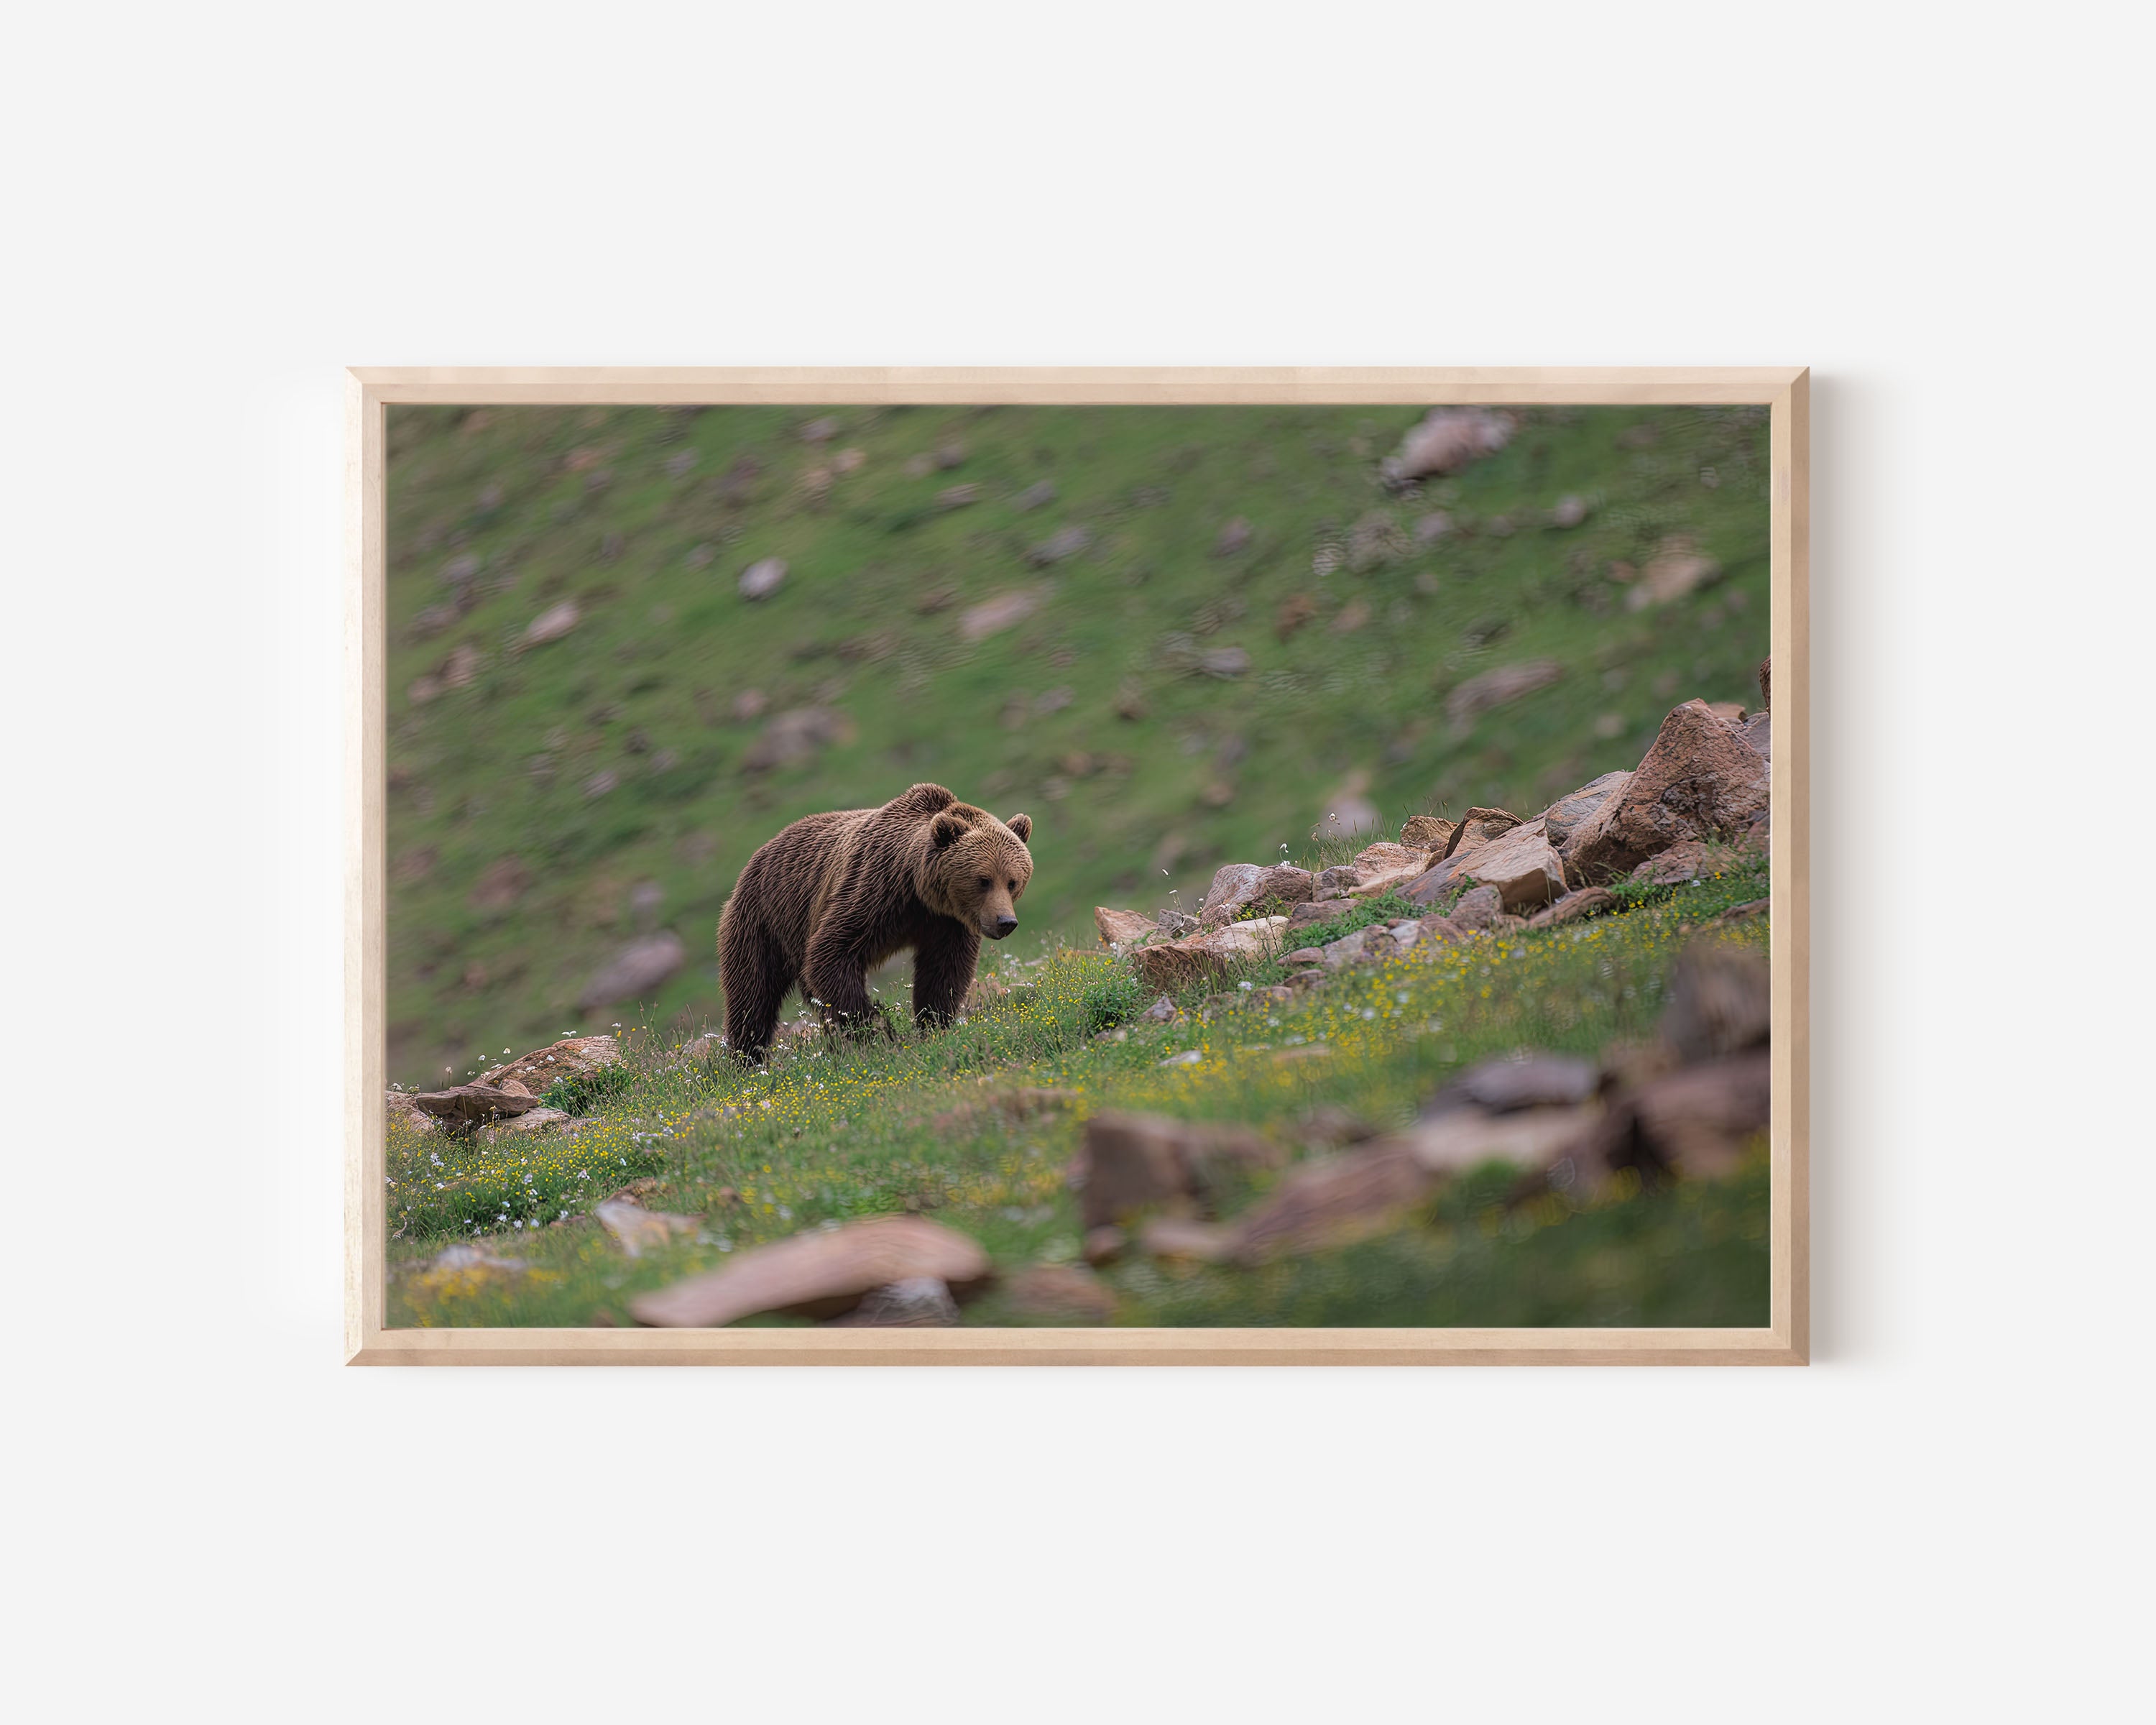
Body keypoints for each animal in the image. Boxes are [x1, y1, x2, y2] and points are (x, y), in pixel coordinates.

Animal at [716, 782, 1034, 1061]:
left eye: (1012, 881)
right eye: (983, 880)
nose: (1005, 921)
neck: (919, 891)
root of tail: (759, 854)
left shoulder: (947, 923)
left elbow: (944, 971)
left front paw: (933, 1024)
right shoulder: (875, 891)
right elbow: (830, 952)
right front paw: (877, 1028)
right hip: (763, 920)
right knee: (753, 993)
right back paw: (747, 1057)